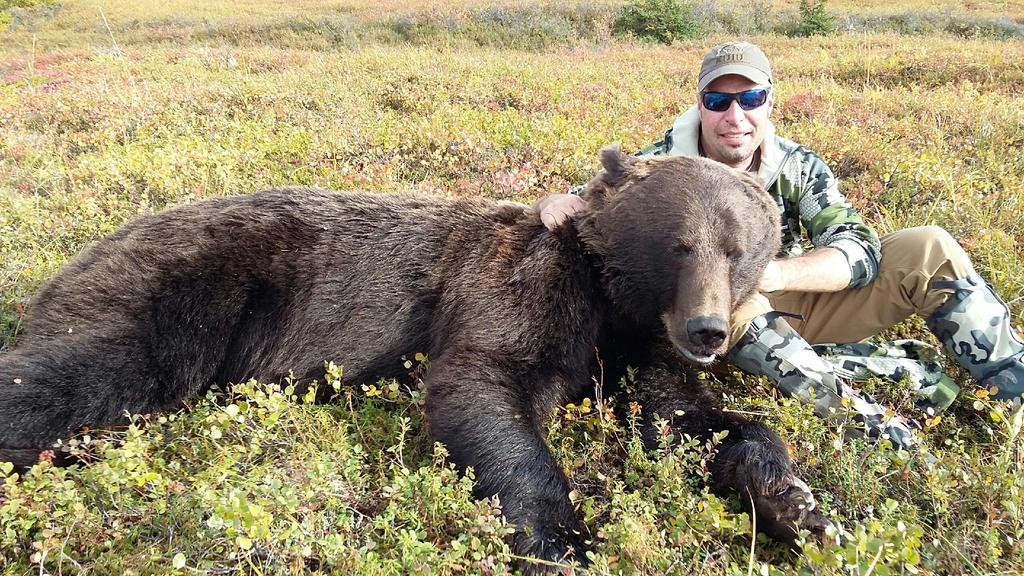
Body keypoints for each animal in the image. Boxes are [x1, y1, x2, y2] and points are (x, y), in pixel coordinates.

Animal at [0, 147, 832, 572]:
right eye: (679, 244)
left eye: (740, 248)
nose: (707, 330)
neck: (605, 297)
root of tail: (84, 251)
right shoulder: (519, 291)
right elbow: (485, 386)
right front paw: (560, 541)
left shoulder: (635, 346)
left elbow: (685, 419)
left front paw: (796, 506)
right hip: (190, 288)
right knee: (89, 370)